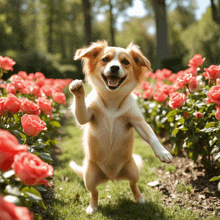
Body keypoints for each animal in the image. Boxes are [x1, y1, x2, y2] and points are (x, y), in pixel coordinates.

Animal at [69, 40, 172, 214]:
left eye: (125, 62)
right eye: (105, 59)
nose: (115, 67)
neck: (112, 100)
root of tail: (111, 177)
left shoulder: (138, 121)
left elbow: (152, 137)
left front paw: (163, 152)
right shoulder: (87, 115)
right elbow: (81, 110)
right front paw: (77, 88)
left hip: (133, 171)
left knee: (133, 185)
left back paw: (139, 198)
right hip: (89, 177)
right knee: (94, 193)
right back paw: (92, 207)